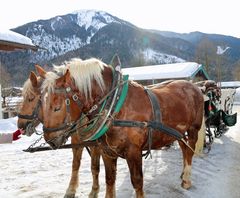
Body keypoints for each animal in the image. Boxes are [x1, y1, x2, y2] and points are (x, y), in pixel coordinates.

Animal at [39, 56, 204, 197]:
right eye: (41, 103)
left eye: (57, 107)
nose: (50, 140)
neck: (116, 105)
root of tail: (195, 87)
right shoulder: (107, 151)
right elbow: (109, 179)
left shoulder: (134, 151)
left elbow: (137, 182)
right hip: (179, 133)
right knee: (184, 149)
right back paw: (183, 173)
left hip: (193, 129)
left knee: (190, 151)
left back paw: (187, 180)